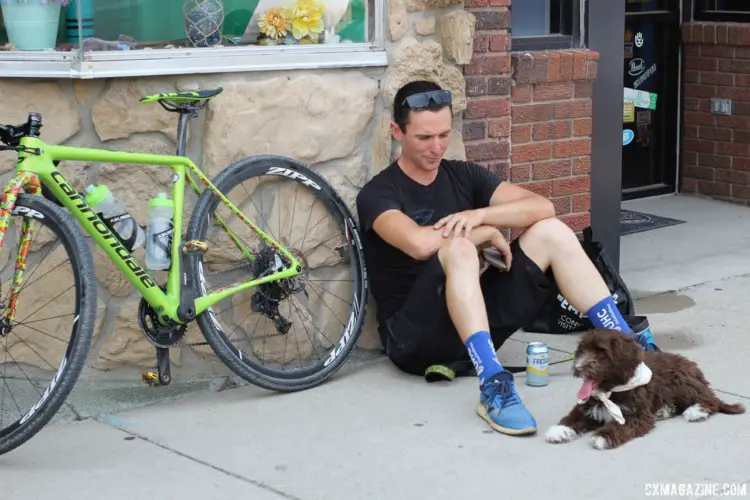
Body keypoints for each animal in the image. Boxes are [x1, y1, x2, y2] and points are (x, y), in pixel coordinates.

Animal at [548, 328, 748, 450]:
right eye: (582, 350)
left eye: (602, 353)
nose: (578, 367)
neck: (611, 390)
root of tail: (694, 369)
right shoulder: (588, 405)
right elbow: (574, 416)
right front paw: (559, 430)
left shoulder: (637, 414)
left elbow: (621, 425)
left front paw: (603, 436)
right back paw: (665, 410)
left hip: (683, 382)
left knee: (710, 400)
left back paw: (696, 412)